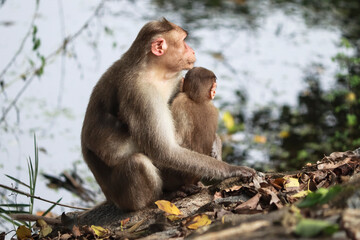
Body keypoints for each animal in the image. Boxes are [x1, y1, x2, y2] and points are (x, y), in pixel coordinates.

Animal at [81, 17, 256, 211]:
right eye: (183, 41)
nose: (192, 50)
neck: (151, 71)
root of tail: (109, 197)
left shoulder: (174, 79)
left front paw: (217, 145)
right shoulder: (142, 94)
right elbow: (163, 150)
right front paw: (230, 169)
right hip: (123, 197)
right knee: (138, 161)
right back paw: (159, 198)